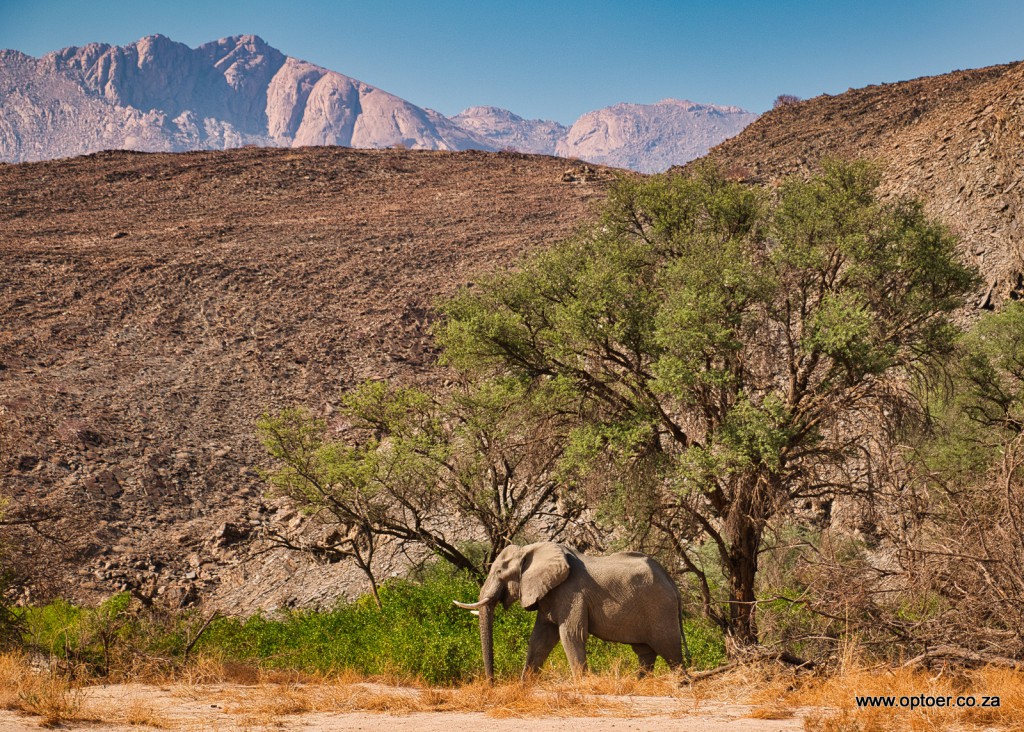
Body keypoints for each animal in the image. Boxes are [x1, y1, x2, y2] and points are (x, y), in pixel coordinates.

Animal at [454, 542, 689, 681]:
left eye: (499, 572)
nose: (491, 683)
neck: (530, 550)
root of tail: (673, 584)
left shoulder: (572, 592)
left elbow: (571, 634)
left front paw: (582, 685)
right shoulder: (549, 594)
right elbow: (540, 639)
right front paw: (523, 686)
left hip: (660, 608)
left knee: (669, 649)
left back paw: (681, 684)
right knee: (645, 652)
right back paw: (639, 683)